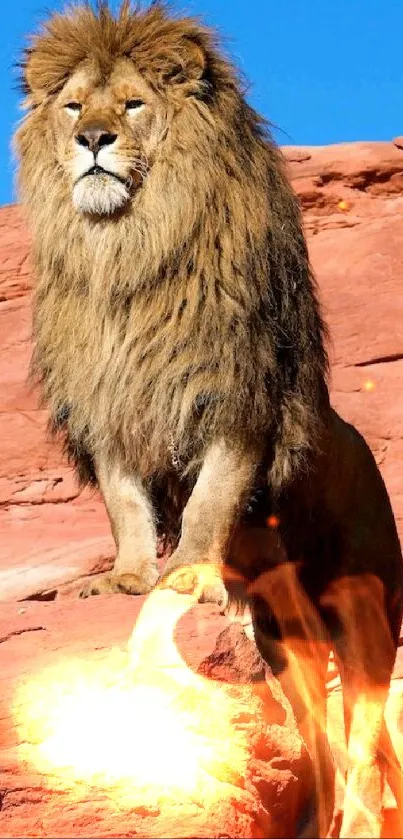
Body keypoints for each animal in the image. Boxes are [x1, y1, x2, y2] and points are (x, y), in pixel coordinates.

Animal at [14, 3, 403, 836]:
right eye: (73, 107)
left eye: (131, 105)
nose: (92, 141)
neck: (125, 253)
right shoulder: (114, 410)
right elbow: (127, 505)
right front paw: (128, 577)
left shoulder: (234, 401)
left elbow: (209, 501)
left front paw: (188, 575)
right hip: (286, 641)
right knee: (317, 745)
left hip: (363, 616)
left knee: (364, 735)